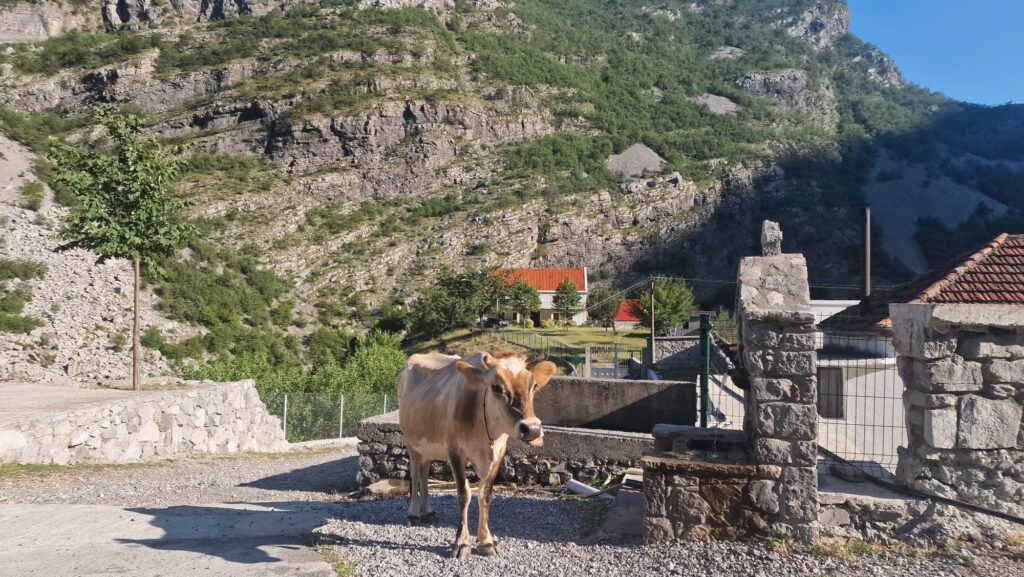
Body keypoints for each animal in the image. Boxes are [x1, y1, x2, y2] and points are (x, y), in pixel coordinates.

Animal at [397, 351, 556, 559]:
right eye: (496, 387)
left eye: (534, 386)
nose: (533, 429)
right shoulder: (455, 450)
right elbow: (464, 494)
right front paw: (461, 543)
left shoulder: (498, 452)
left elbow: (485, 494)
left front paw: (486, 541)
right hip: (410, 441)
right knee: (415, 473)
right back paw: (414, 514)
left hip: (427, 444)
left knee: (424, 473)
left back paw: (428, 512)